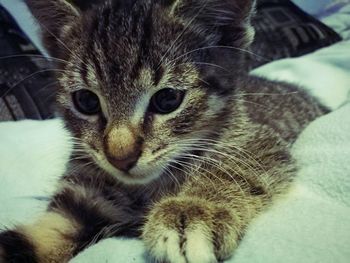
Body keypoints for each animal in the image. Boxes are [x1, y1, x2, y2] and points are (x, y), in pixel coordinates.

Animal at [0, 0, 328, 263]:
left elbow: (232, 170)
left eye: (168, 99)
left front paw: (192, 212)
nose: (120, 157)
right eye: (86, 101)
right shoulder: (79, 198)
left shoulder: (257, 141)